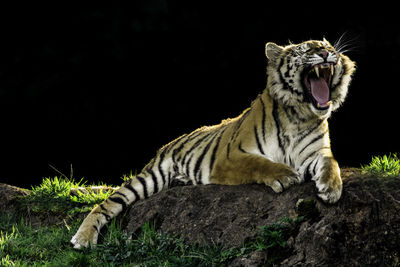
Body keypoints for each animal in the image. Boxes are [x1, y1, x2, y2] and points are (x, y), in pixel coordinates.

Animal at [70, 38, 354, 250]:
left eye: (327, 46)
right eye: (307, 49)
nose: (327, 53)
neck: (299, 115)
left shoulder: (315, 152)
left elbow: (331, 162)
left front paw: (331, 188)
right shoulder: (231, 157)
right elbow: (259, 163)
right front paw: (285, 175)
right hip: (147, 179)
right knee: (106, 204)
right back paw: (82, 239)